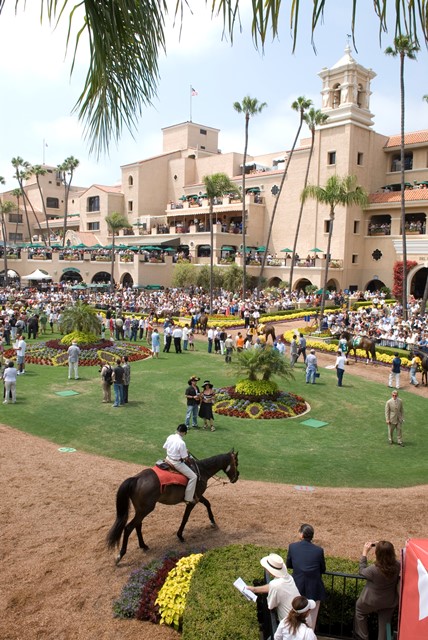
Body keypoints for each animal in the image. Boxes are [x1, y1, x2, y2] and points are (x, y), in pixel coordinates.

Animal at [107, 452, 239, 564]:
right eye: (236, 462)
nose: (237, 477)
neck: (202, 470)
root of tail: (136, 479)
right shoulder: (192, 501)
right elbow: (185, 518)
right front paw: (180, 535)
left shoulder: (198, 496)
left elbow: (207, 504)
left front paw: (212, 522)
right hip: (145, 509)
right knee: (129, 528)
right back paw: (120, 555)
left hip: (141, 510)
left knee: (138, 525)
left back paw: (143, 545)